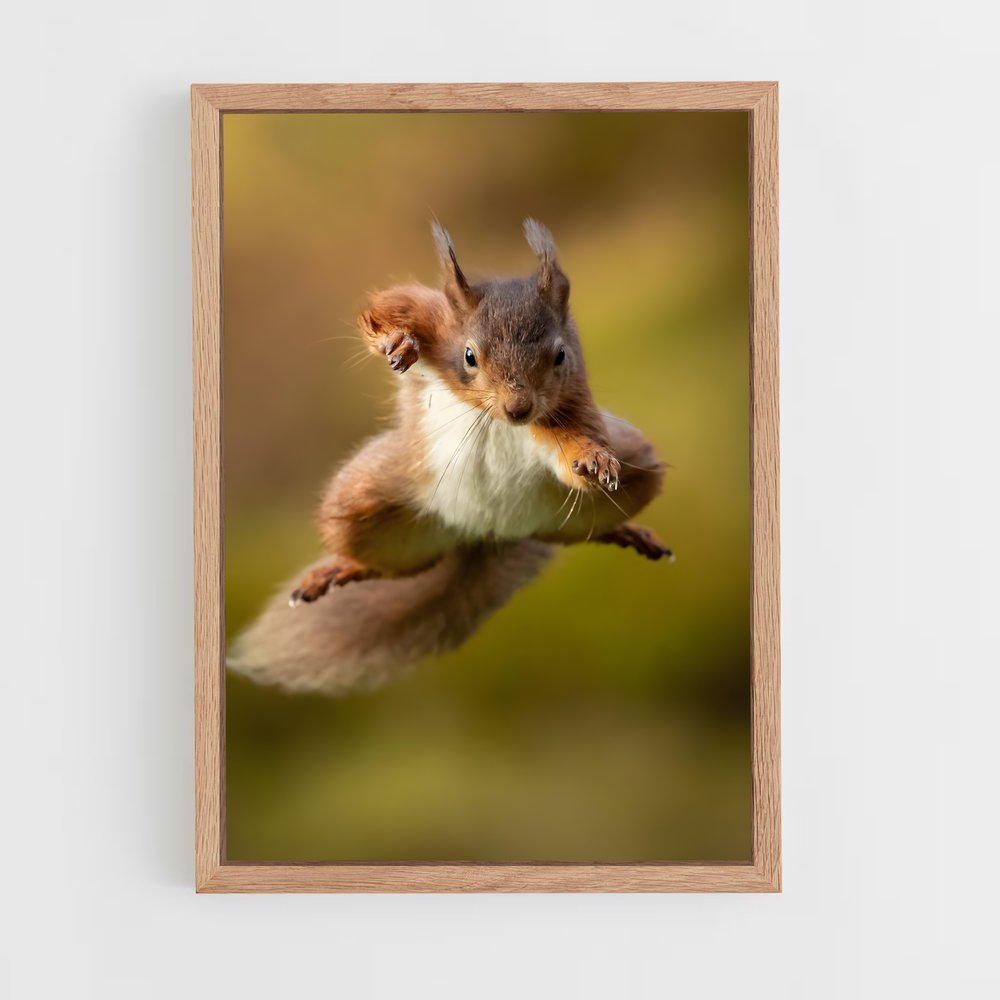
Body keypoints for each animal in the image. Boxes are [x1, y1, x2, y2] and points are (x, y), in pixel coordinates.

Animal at [228, 219, 671, 694]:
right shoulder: (433, 316)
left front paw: (593, 459)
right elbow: (388, 307)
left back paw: (622, 532)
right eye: (469, 356)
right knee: (390, 564)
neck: (492, 418)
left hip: (633, 473)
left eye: (560, 356)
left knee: (568, 532)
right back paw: (341, 570)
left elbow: (576, 445)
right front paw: (397, 341)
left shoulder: (572, 406)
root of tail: (488, 533)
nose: (518, 410)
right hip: (360, 506)